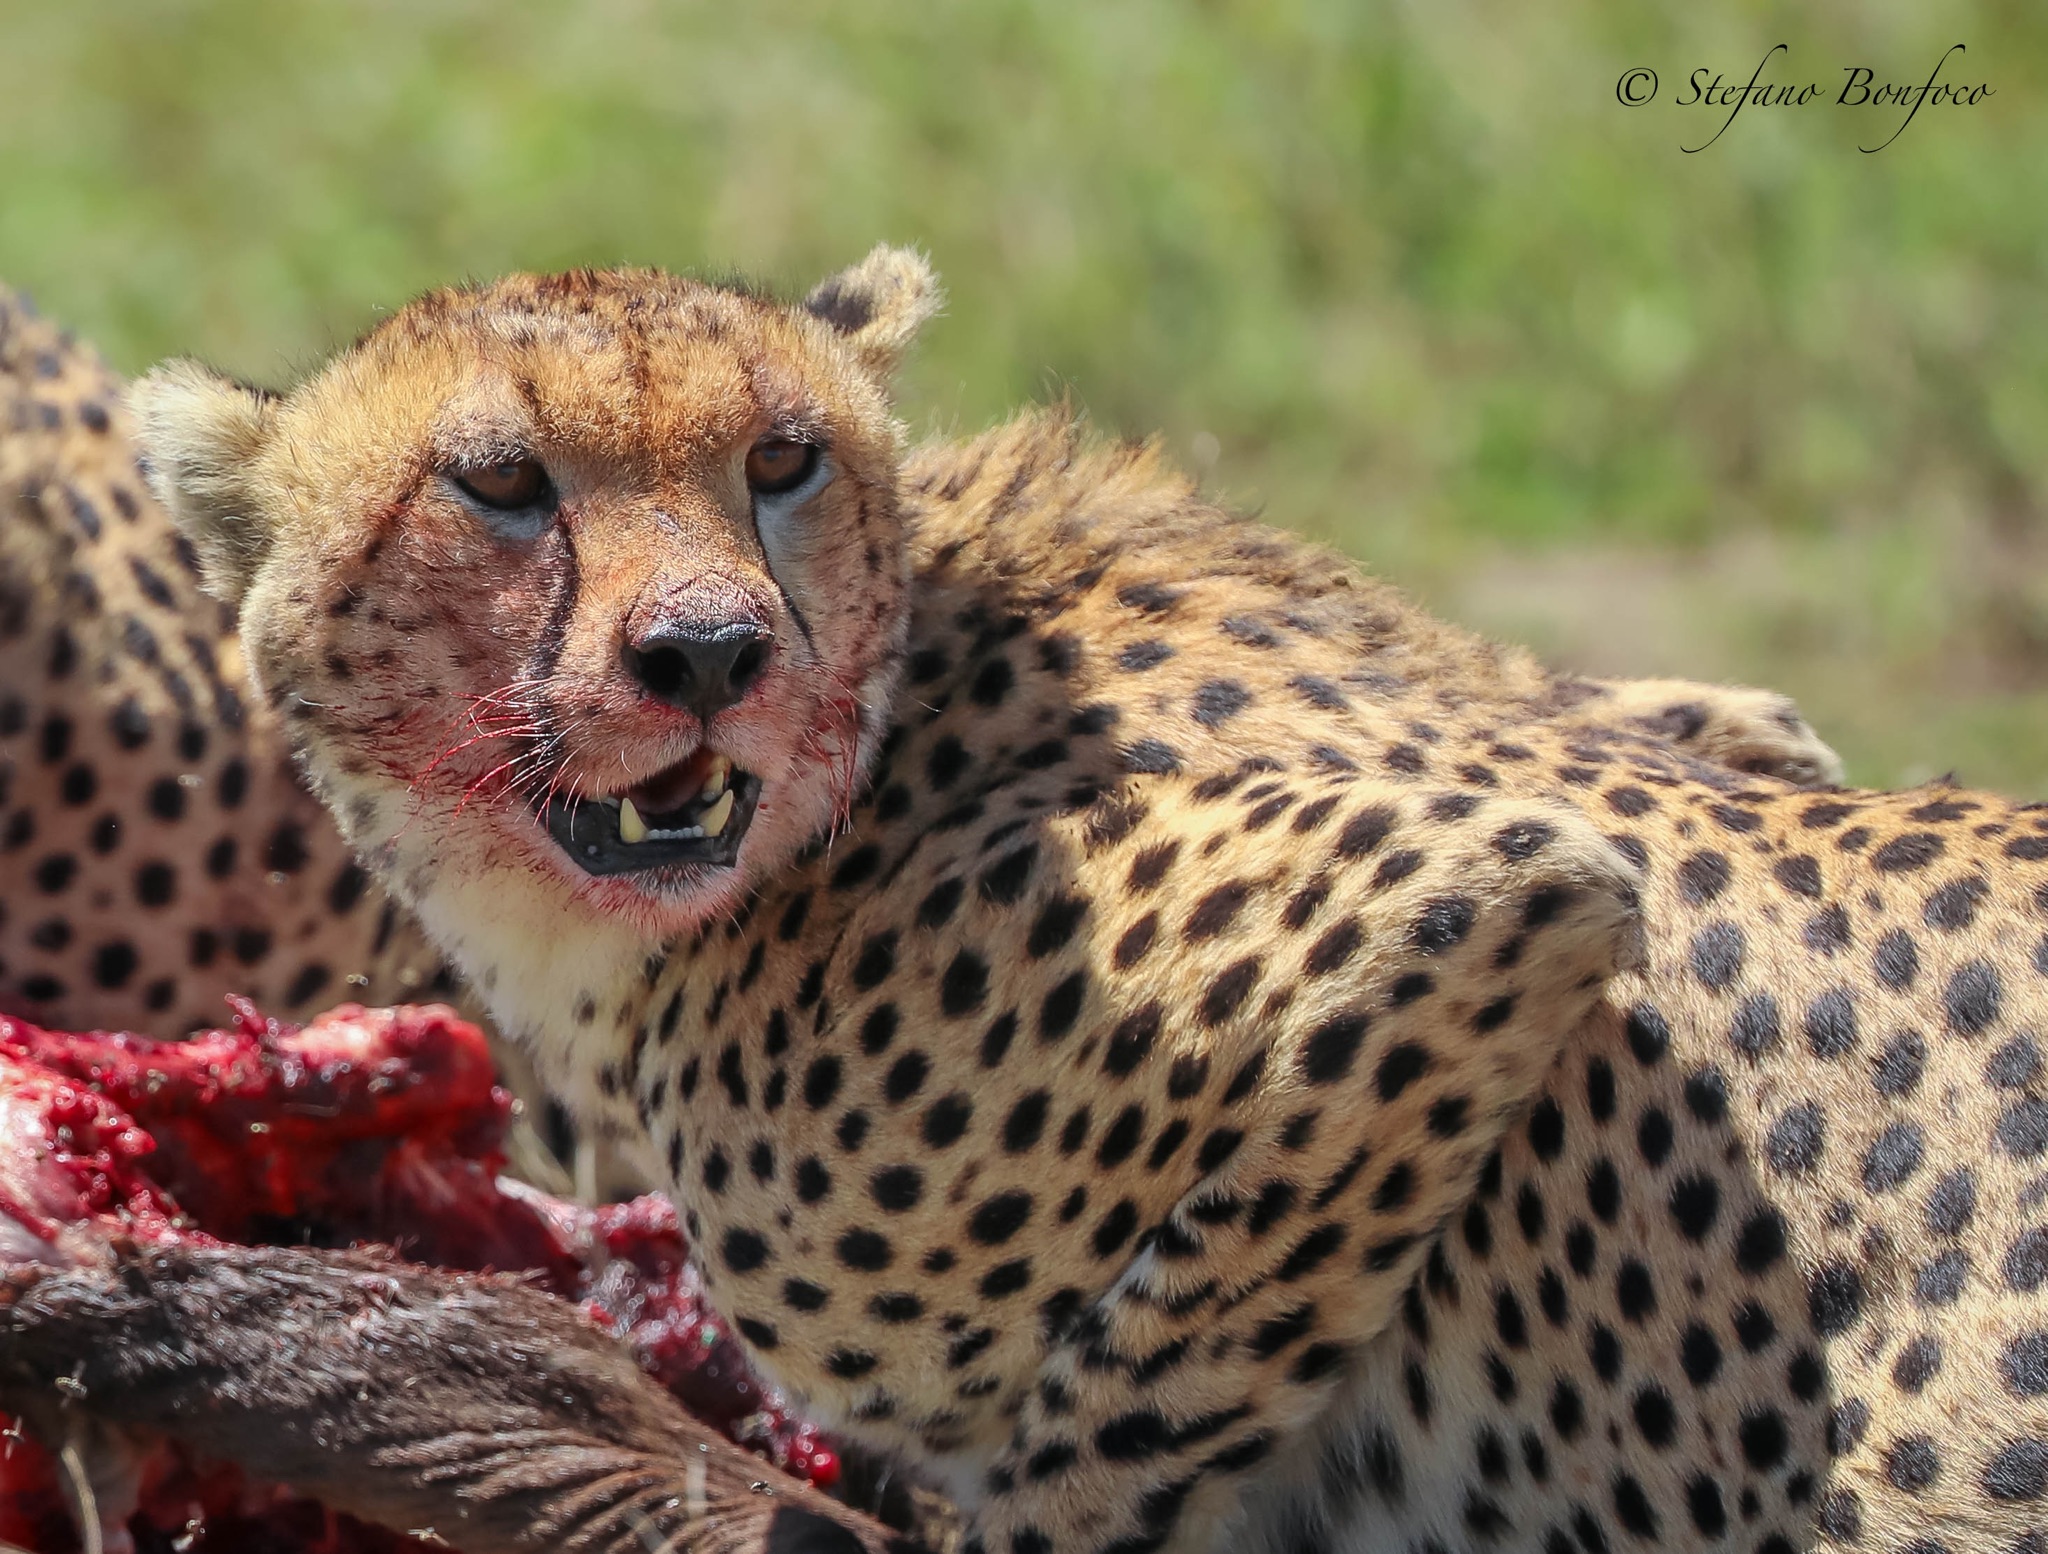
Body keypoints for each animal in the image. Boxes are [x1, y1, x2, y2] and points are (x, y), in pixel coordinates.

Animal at [123, 247, 2048, 1554]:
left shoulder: (1483, 884)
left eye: (781, 459)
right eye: (503, 483)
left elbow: (1120, 1425)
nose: (710, 652)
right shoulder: (1699, 740)